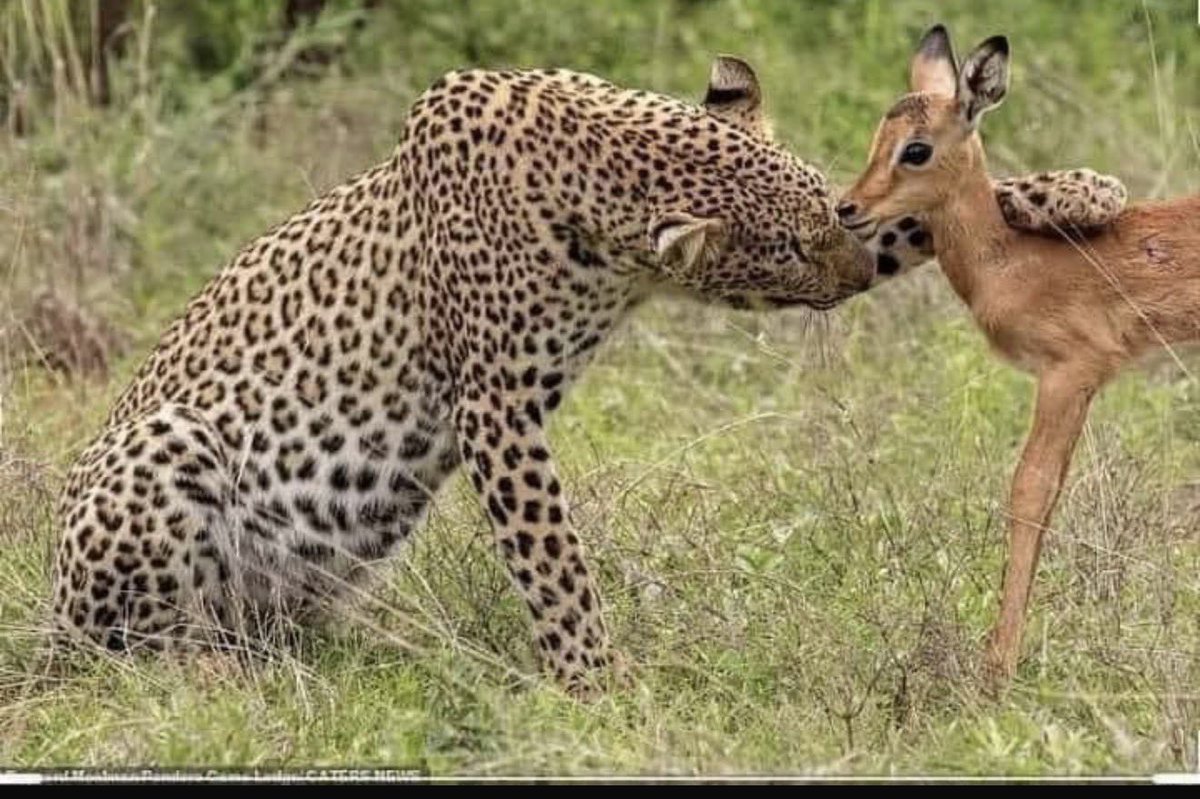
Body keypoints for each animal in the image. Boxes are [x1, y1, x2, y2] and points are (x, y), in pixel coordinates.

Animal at [838, 24, 1200, 686]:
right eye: (881, 135)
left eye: (916, 149)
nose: (848, 207)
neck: (1008, 260)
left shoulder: (1067, 374)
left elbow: (1029, 493)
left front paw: (996, 668)